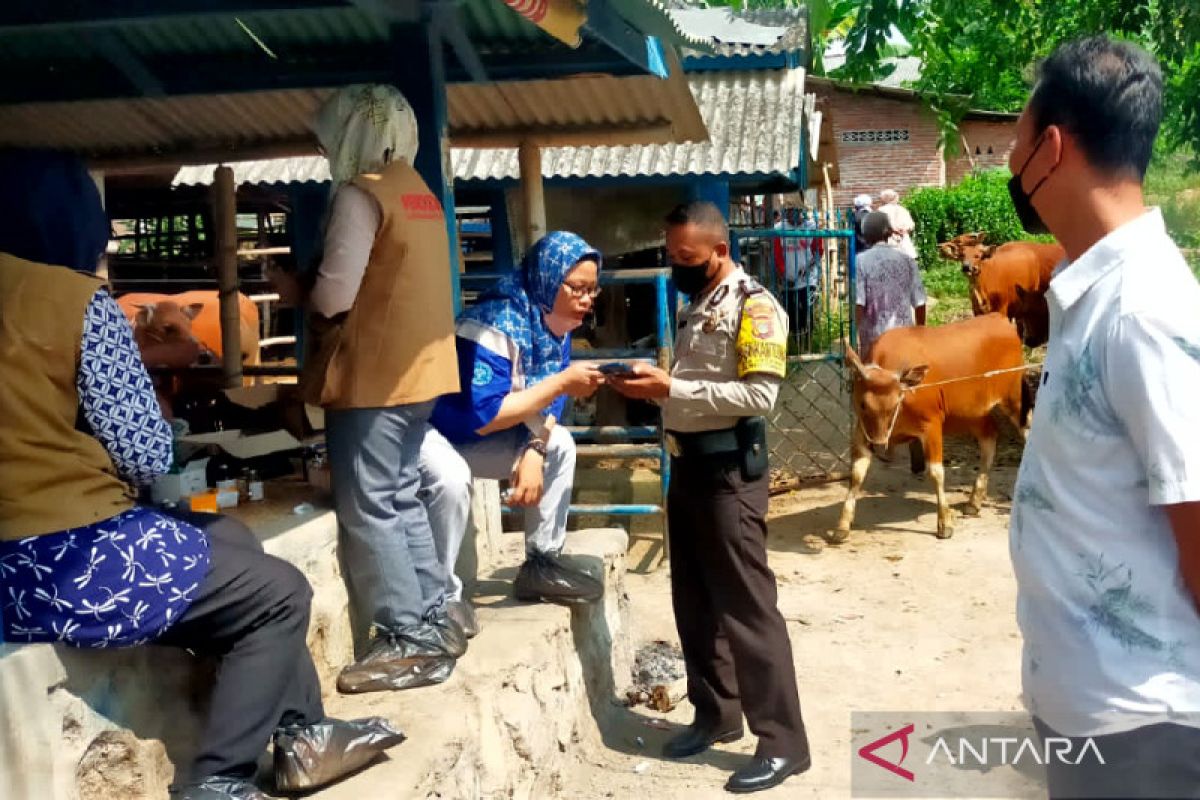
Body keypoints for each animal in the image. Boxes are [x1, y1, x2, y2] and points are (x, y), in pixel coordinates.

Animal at [835, 311, 1032, 544]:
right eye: (863, 404)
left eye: (896, 402)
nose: (880, 443)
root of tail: (1000, 318)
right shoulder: (862, 431)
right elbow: (856, 473)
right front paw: (842, 526)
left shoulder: (932, 426)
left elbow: (936, 473)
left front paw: (944, 523)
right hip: (972, 412)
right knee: (989, 437)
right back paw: (974, 501)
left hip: (1014, 398)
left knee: (1027, 431)